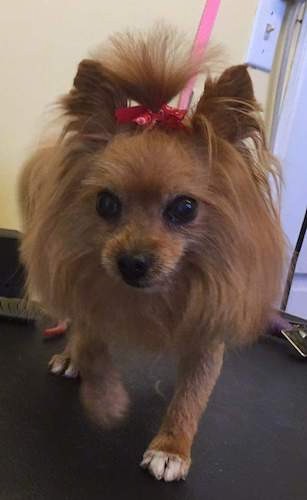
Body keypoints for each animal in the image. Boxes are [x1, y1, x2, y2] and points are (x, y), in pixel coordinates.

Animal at [18, 26, 286, 480]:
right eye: (106, 203)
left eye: (185, 208)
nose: (131, 262)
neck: (158, 295)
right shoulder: (92, 295)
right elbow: (93, 346)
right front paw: (106, 400)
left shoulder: (207, 336)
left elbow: (192, 396)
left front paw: (171, 447)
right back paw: (71, 357)